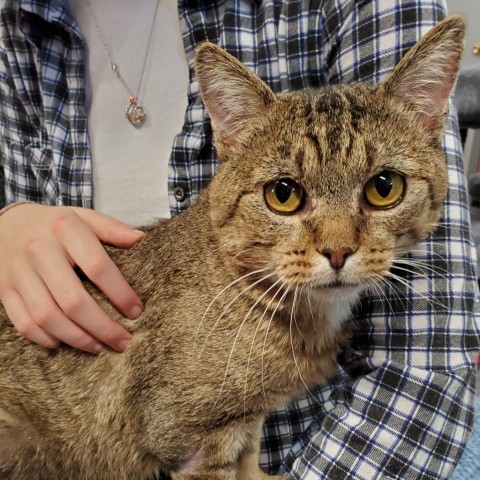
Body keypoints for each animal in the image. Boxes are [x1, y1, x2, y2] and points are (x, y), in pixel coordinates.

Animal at [0, 15, 464, 480]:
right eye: (283, 194)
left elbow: (251, 456)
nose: (337, 251)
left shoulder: (246, 421)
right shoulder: (191, 438)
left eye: (384, 187)